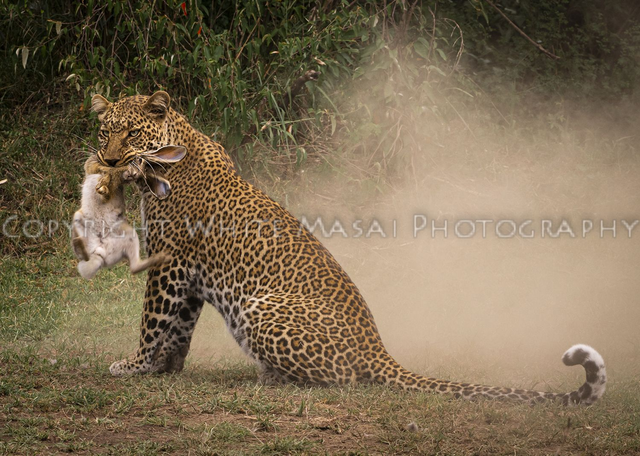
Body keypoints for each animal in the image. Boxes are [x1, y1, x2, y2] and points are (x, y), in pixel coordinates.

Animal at [80, 90, 607, 405]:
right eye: (107, 131)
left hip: (259, 308)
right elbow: (180, 327)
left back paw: (272, 378)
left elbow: (153, 321)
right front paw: (165, 369)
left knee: (345, 379)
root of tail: (378, 348)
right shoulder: (188, 274)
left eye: (133, 133)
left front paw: (133, 365)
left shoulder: (168, 264)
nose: (108, 160)